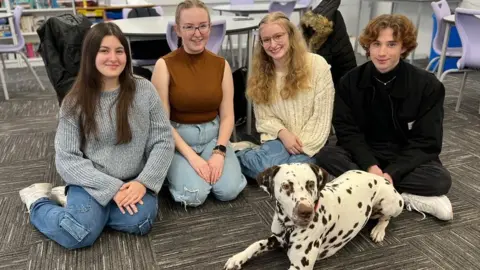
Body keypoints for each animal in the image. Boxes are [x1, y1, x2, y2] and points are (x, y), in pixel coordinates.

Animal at [223, 162, 404, 270]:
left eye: (310, 184)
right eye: (286, 186)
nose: (306, 211)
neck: (289, 227)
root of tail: (378, 177)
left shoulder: (300, 266)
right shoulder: (276, 239)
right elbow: (255, 244)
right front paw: (237, 258)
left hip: (390, 202)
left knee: (386, 218)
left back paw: (379, 230)